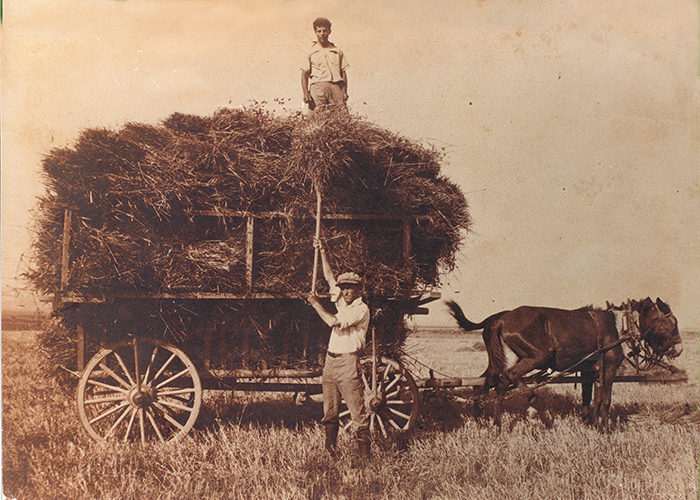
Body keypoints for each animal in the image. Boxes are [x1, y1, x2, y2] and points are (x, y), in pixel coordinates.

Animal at [448, 296, 684, 430]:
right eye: (669, 323)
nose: (679, 348)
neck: (618, 326)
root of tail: (502, 317)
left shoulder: (590, 371)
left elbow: (591, 400)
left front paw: (591, 424)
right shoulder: (608, 369)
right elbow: (605, 401)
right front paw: (606, 430)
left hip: (503, 358)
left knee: (488, 382)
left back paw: (489, 422)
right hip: (538, 356)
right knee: (509, 377)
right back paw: (530, 408)